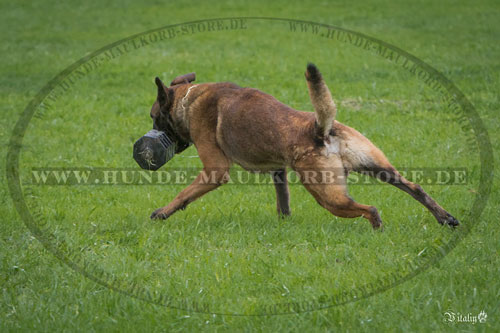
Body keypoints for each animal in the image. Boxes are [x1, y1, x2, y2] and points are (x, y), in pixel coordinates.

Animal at [146, 63, 458, 228]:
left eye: (153, 117)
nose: (151, 137)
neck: (190, 99)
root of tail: (321, 129)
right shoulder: (278, 170)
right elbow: (283, 201)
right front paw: (284, 224)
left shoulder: (215, 169)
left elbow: (184, 194)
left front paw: (162, 212)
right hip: (378, 167)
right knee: (415, 188)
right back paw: (446, 218)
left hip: (327, 195)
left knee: (370, 208)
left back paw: (378, 229)